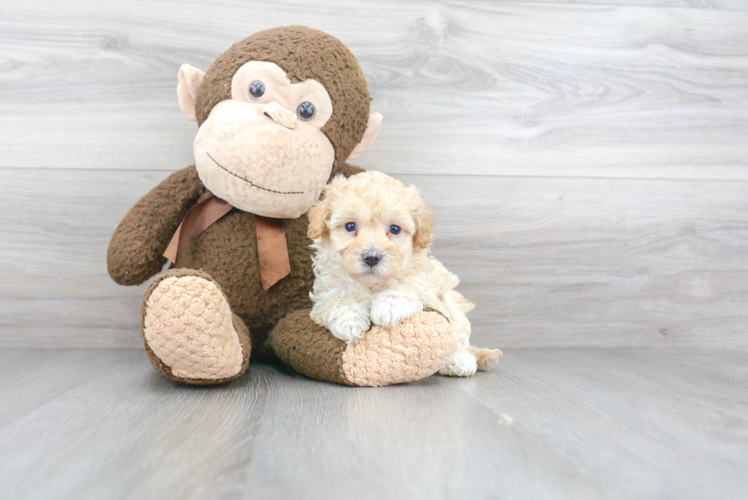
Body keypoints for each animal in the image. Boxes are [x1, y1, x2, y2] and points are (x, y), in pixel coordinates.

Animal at [304, 171, 502, 376]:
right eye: (350, 226)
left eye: (394, 229)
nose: (371, 257)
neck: (372, 286)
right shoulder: (327, 289)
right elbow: (337, 300)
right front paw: (350, 321)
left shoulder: (426, 282)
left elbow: (407, 285)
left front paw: (388, 307)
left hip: (453, 308)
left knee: (458, 337)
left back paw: (458, 361)